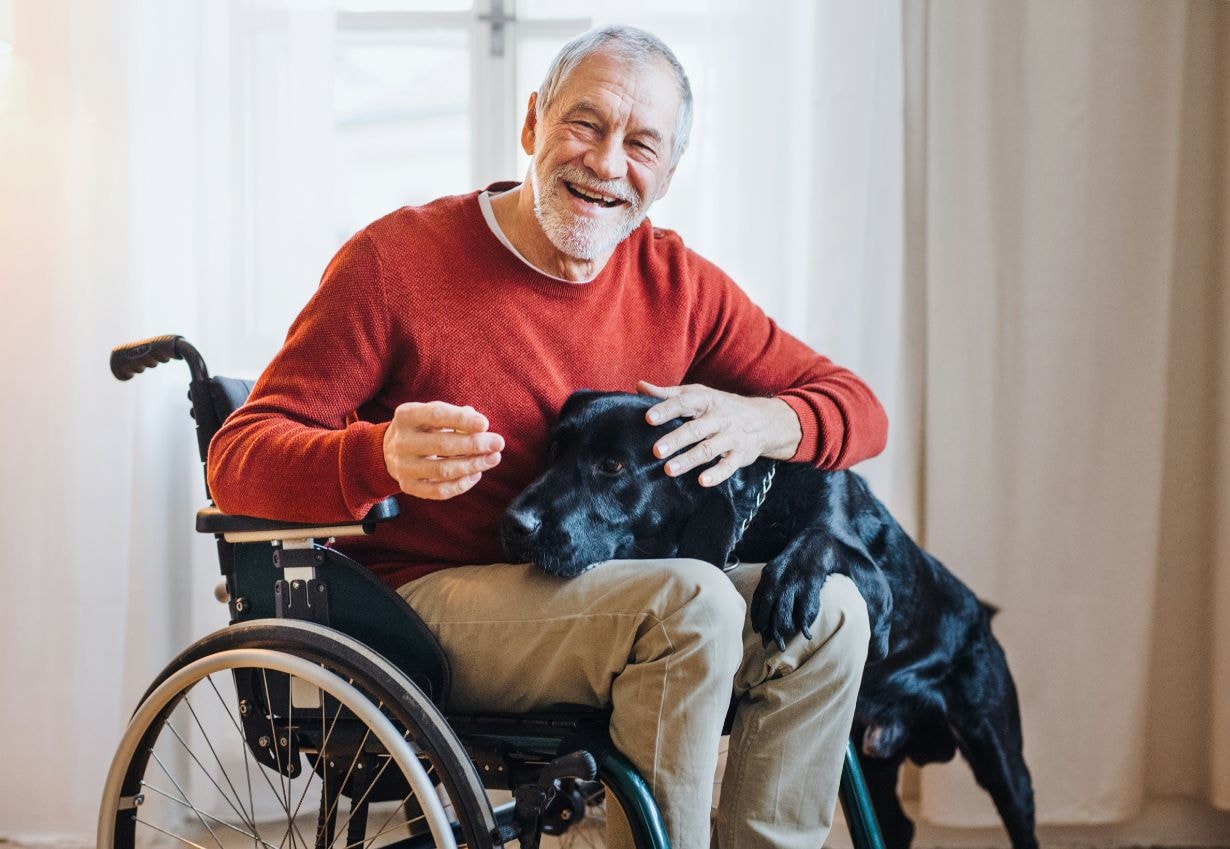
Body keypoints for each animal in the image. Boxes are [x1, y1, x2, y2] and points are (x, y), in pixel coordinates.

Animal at [499, 391, 1038, 846]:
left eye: (611, 466)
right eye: (553, 452)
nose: (512, 524)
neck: (757, 516)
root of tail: (984, 617)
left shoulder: (876, 586)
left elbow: (820, 538)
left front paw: (787, 585)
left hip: (999, 756)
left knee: (1018, 812)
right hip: (872, 758)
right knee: (898, 824)